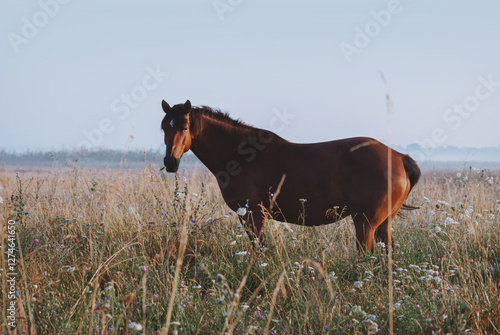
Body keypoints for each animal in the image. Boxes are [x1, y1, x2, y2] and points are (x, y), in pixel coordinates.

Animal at [162, 100, 420, 252]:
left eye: (184, 126)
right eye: (164, 127)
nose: (170, 162)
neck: (241, 154)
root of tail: (399, 157)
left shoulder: (253, 214)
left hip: (365, 223)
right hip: (383, 223)